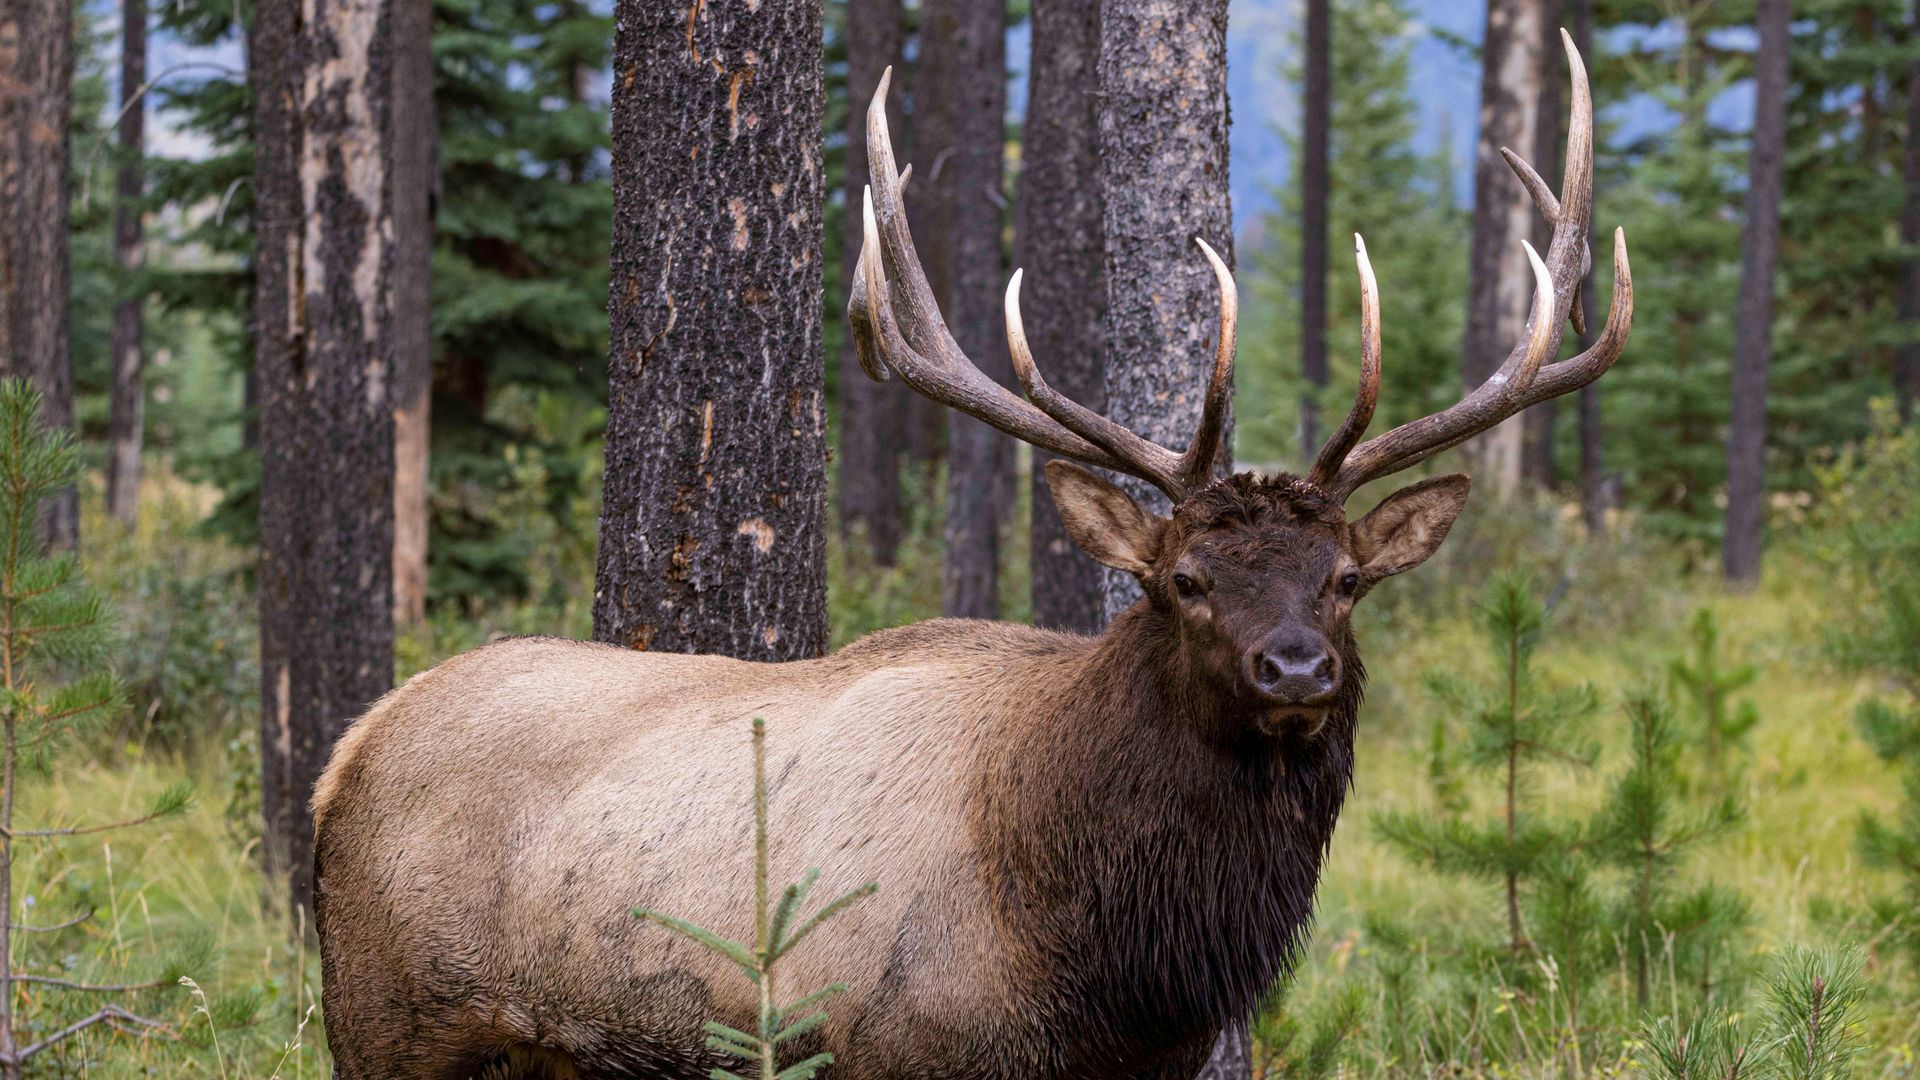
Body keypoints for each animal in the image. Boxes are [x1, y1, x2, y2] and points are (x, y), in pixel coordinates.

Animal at [318, 33, 1635, 1076]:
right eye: (1184, 583)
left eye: (1348, 581)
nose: (1296, 669)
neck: (1110, 959)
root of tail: (349, 752)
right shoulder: (897, 1051)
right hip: (386, 1024)